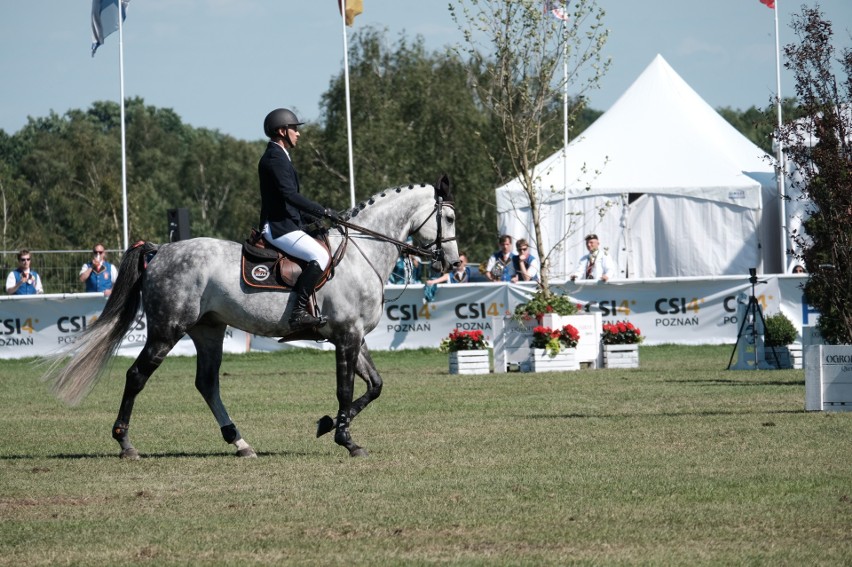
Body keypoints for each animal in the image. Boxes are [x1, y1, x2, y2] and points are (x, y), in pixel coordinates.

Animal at [45, 180, 460, 460]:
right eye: (450, 217)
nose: (454, 264)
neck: (362, 255)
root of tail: (161, 250)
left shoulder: (355, 337)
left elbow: (374, 386)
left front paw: (329, 425)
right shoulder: (346, 335)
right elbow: (345, 390)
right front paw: (346, 439)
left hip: (208, 330)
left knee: (207, 384)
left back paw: (240, 442)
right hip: (167, 329)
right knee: (137, 376)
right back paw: (125, 443)